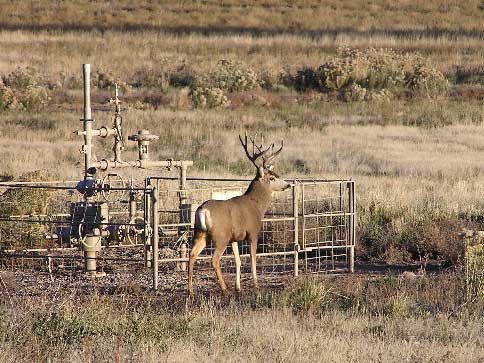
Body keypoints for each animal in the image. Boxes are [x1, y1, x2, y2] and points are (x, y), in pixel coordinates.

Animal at [187, 133, 290, 296]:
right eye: (272, 178)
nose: (288, 185)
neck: (256, 205)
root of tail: (203, 210)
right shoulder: (253, 232)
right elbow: (252, 259)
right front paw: (256, 285)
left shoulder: (234, 238)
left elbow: (238, 260)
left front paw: (238, 287)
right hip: (220, 236)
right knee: (214, 259)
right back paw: (224, 288)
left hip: (200, 233)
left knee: (192, 255)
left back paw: (190, 291)